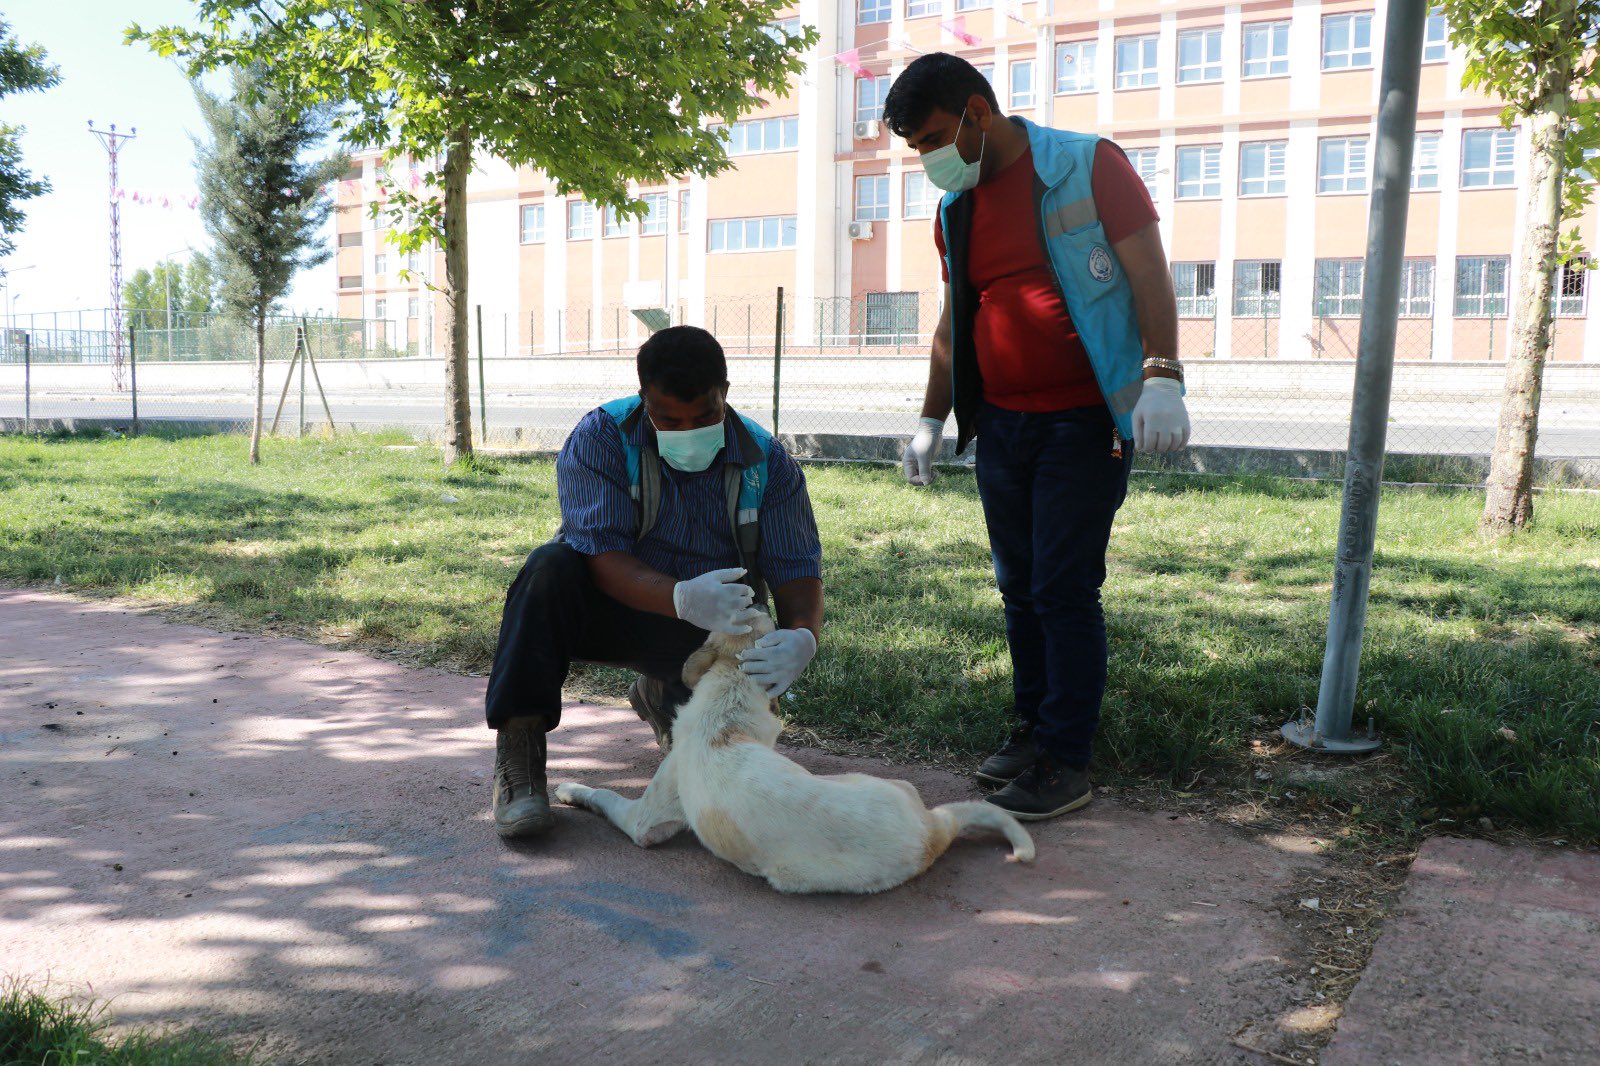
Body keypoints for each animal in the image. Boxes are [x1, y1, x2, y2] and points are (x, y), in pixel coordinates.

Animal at [553, 611, 1036, 889]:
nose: (752, 593)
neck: (730, 695)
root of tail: (932, 830)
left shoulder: (645, 822)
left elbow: (604, 795)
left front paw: (569, 788)